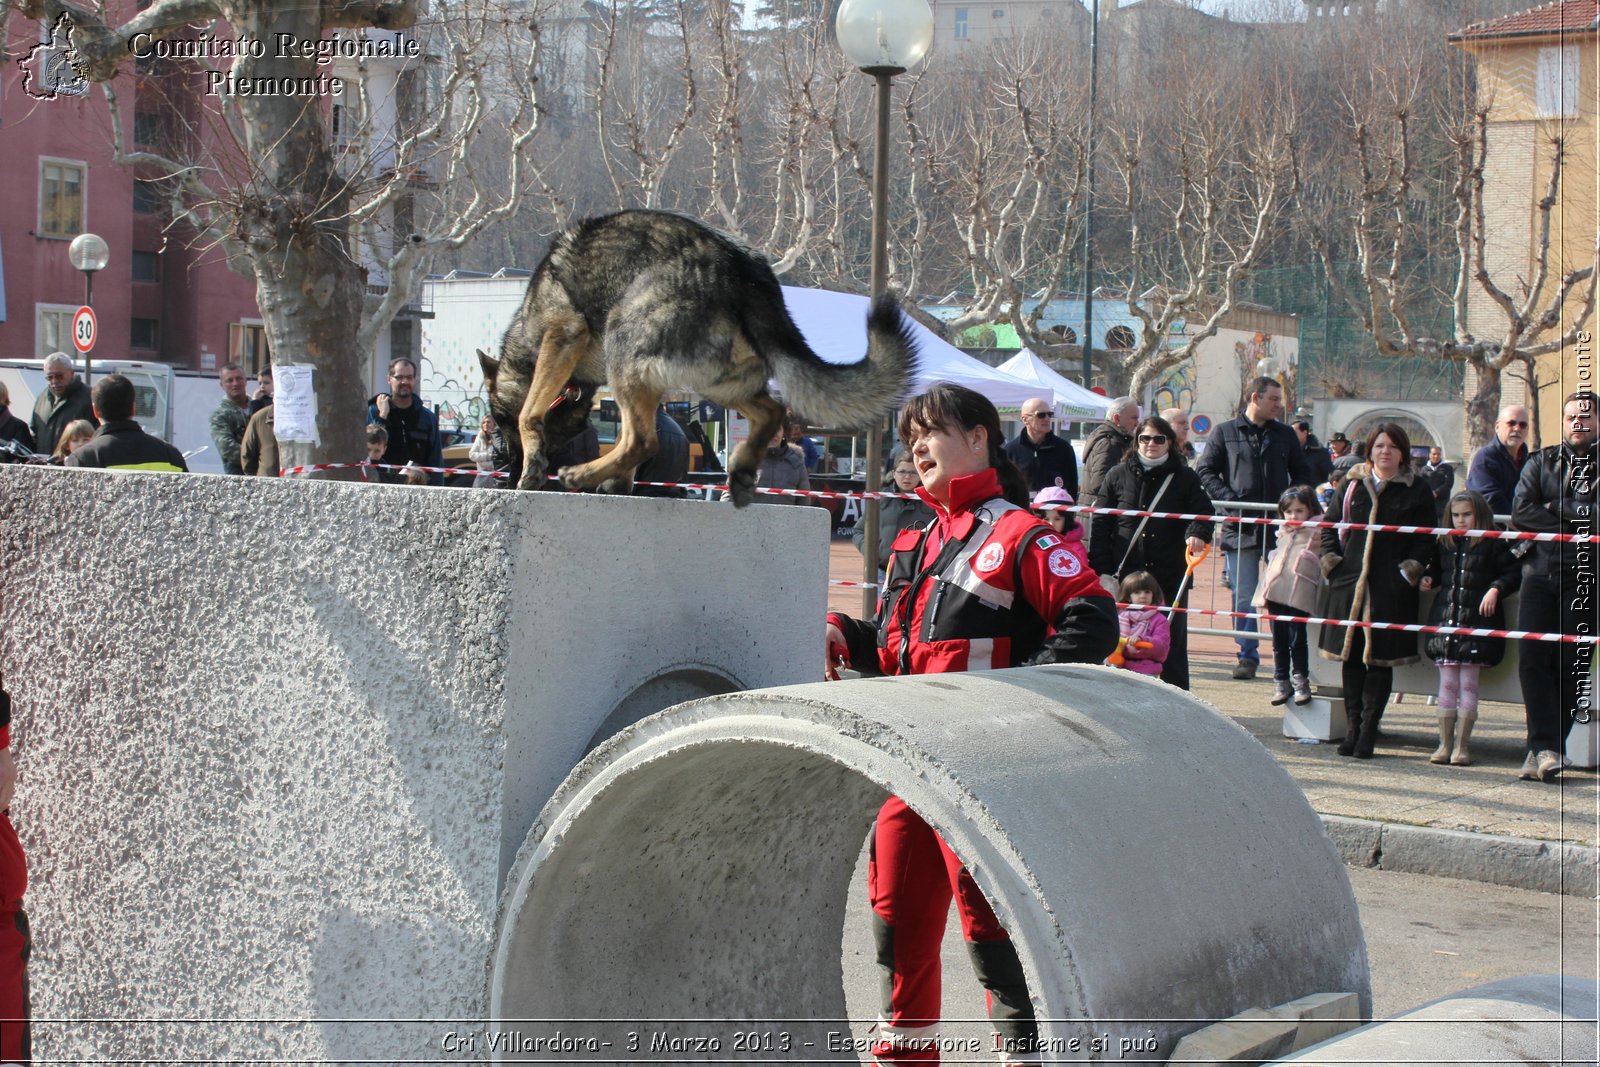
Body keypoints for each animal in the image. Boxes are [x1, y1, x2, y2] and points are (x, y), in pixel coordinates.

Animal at [473, 212, 921, 508]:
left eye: (497, 420)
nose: (508, 475)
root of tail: (746, 273)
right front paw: (618, 484)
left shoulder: (562, 336)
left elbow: (532, 412)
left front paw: (537, 466)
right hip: (715, 383)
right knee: (771, 411)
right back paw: (741, 471)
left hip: (626, 346)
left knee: (643, 439)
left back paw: (580, 473)